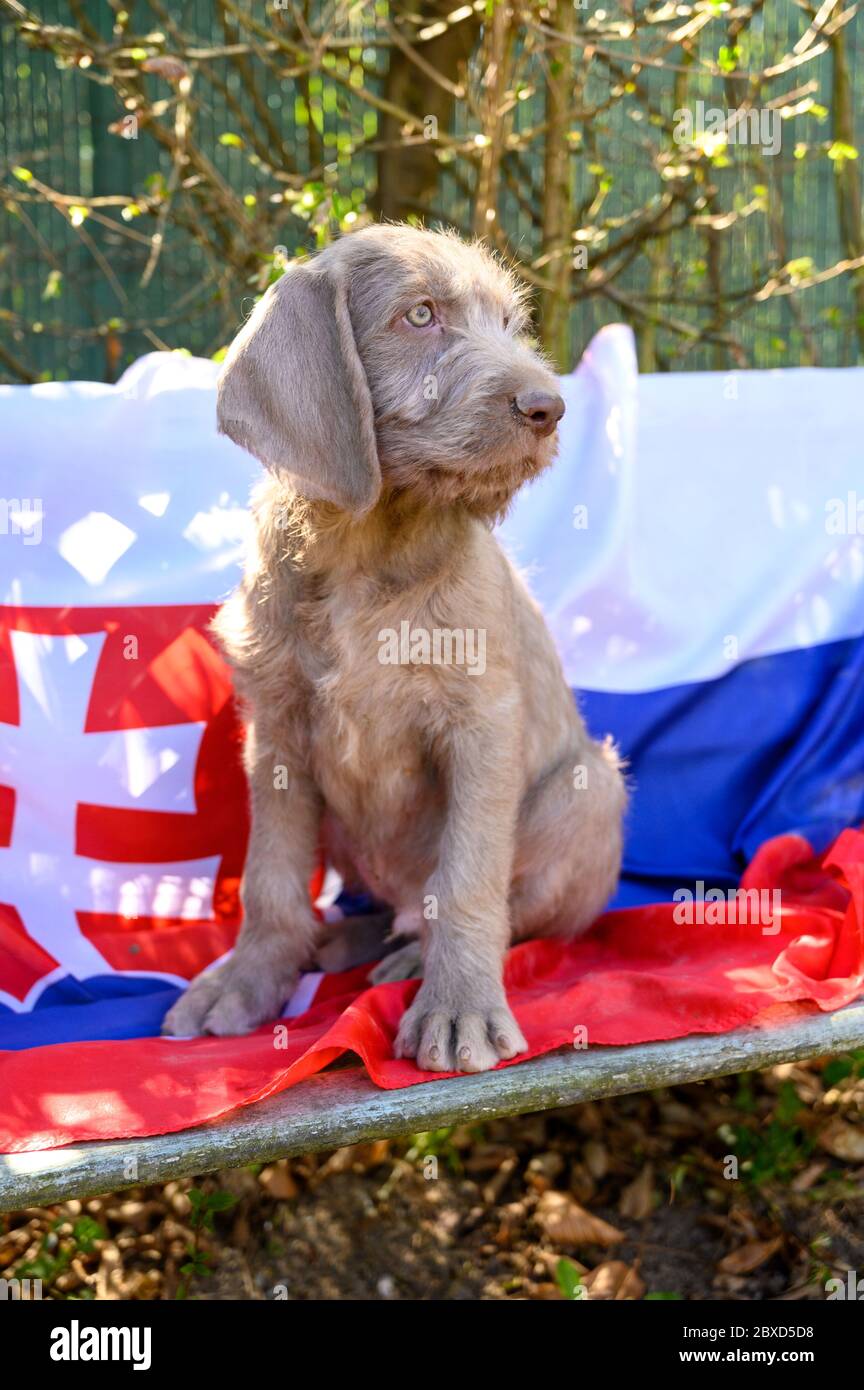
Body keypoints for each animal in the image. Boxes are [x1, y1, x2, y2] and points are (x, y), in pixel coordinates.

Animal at [162, 225, 625, 1073]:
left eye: (510, 324)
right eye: (420, 315)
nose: (549, 407)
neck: (369, 544)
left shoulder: (481, 723)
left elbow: (469, 876)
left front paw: (459, 1006)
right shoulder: (275, 731)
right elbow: (270, 875)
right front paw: (248, 977)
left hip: (592, 786)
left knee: (505, 913)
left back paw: (416, 955)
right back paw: (344, 939)